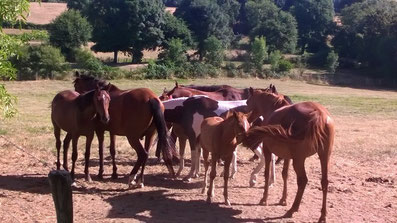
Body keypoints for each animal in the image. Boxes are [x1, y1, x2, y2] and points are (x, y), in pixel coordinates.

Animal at [241, 89, 334, 223]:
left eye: (247, 102)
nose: (247, 118)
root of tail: (319, 114)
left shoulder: (268, 151)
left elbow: (267, 173)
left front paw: (264, 199)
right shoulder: (287, 157)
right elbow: (285, 174)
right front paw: (283, 199)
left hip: (299, 160)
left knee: (303, 181)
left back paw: (292, 209)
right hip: (324, 156)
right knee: (324, 182)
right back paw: (322, 216)